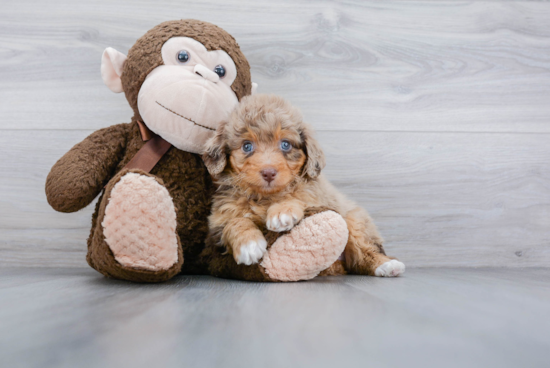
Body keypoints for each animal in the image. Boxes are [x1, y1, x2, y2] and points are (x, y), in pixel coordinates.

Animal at [203, 94, 406, 276]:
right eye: (247, 146)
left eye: (285, 144)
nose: (268, 172)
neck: (265, 196)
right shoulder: (218, 221)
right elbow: (234, 221)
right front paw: (249, 245)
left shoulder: (315, 195)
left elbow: (297, 195)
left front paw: (281, 212)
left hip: (356, 219)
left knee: (362, 252)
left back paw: (386, 265)